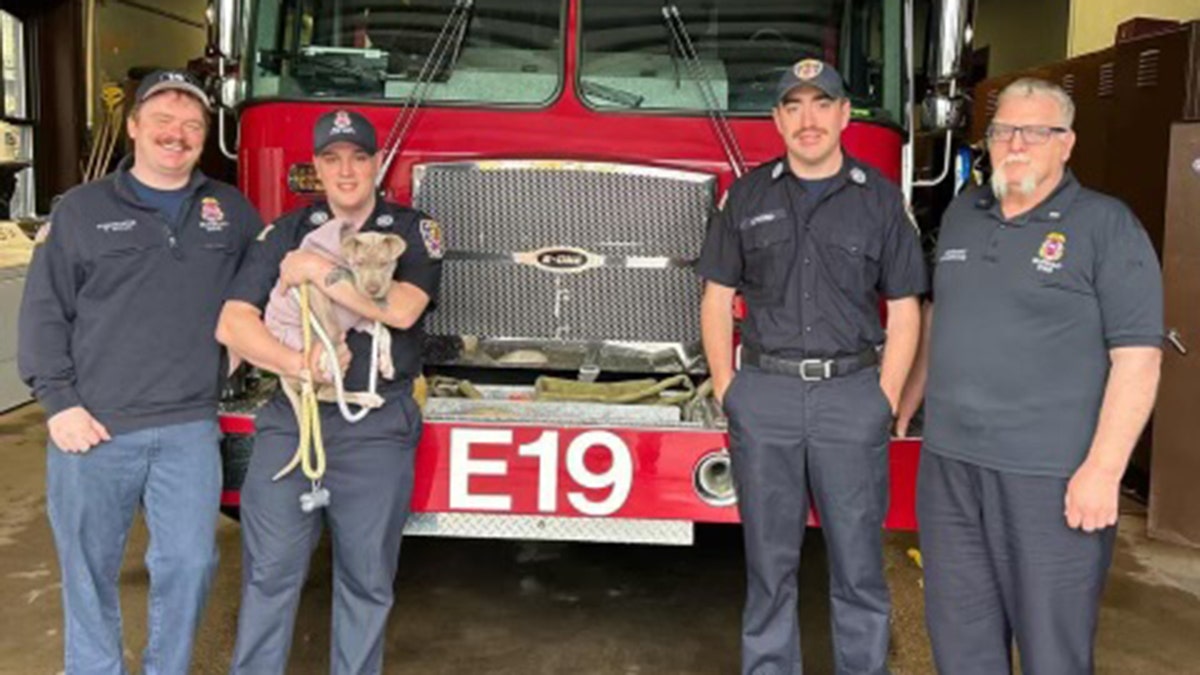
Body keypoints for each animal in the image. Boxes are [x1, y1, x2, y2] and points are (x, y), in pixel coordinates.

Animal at [264, 218, 408, 415]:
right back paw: (365, 396)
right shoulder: (314, 289)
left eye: (384, 263)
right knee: (325, 392)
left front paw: (387, 364)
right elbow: (333, 327)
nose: (373, 290)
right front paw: (326, 359)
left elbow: (385, 333)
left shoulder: (359, 318)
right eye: (359, 263)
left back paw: (368, 398)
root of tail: (282, 378)